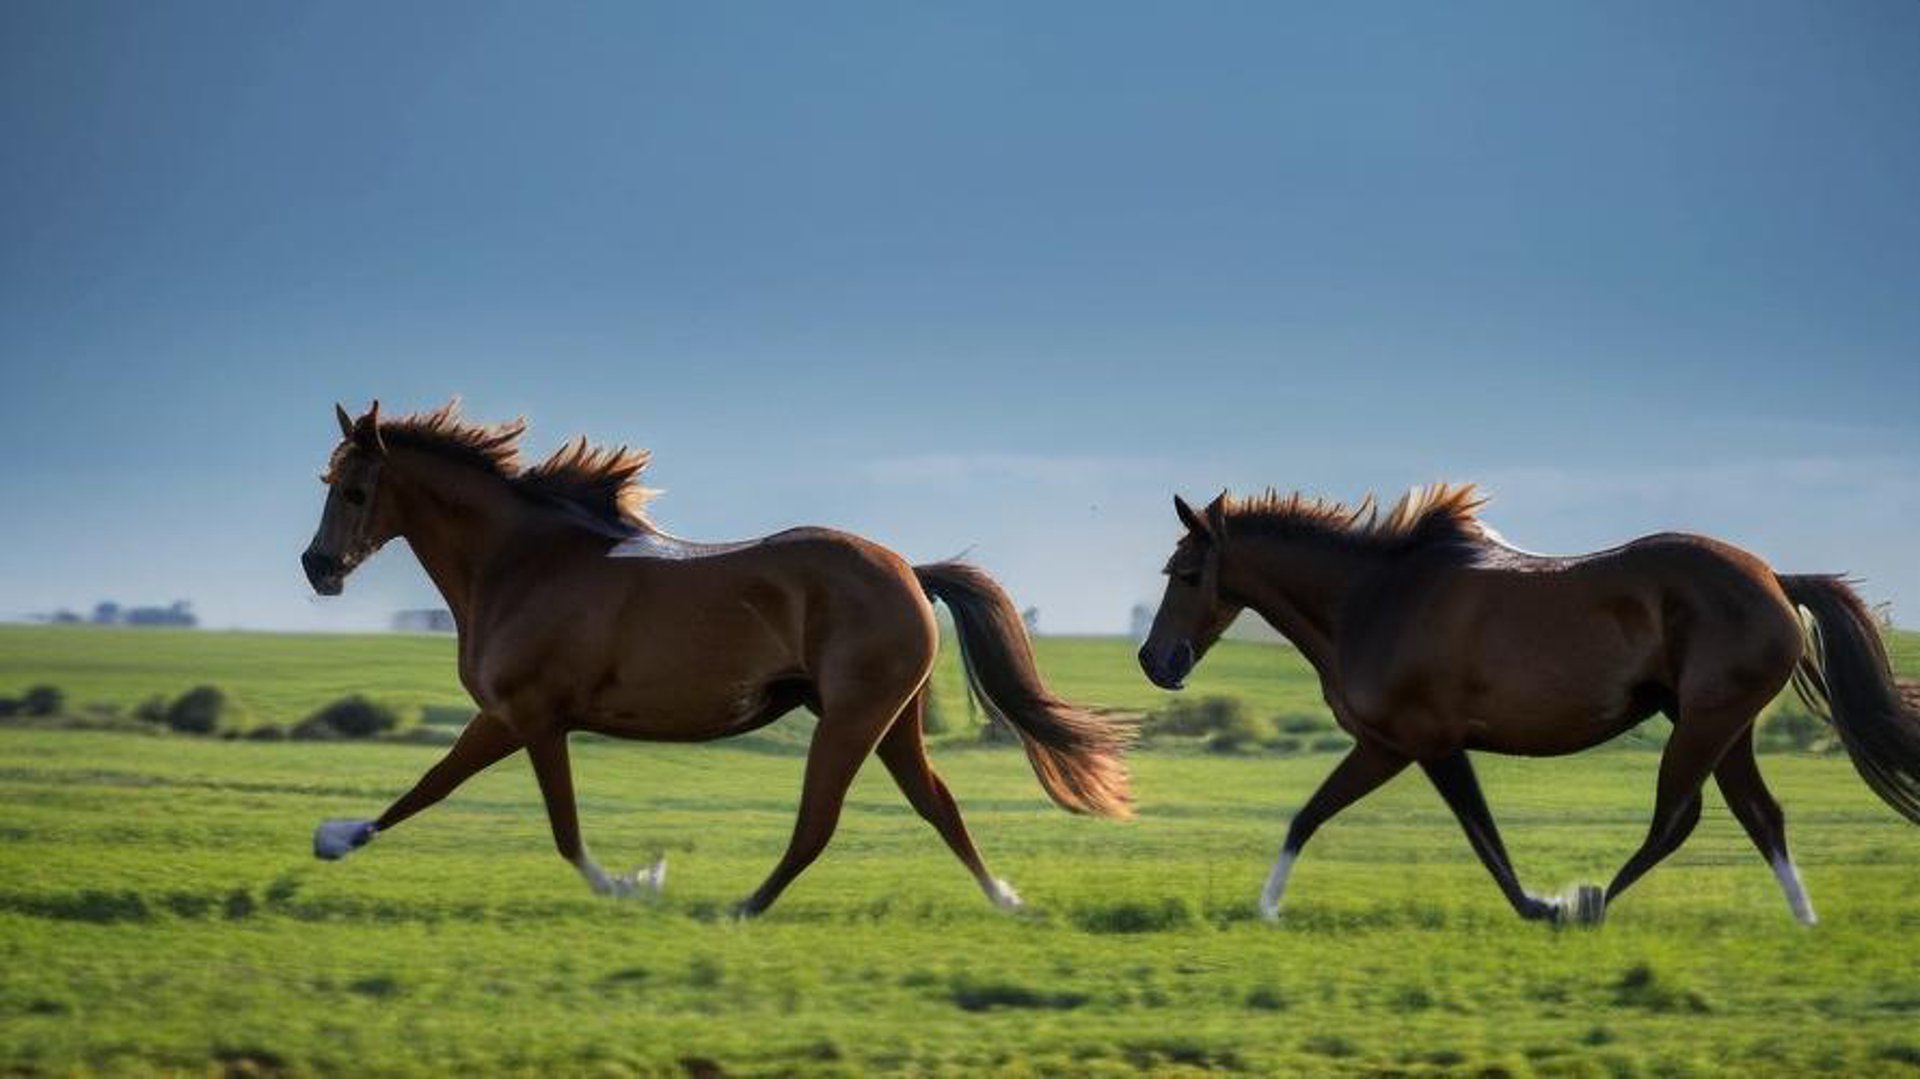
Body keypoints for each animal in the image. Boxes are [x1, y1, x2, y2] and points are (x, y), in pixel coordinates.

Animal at [302, 401, 1132, 916]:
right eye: (328, 481)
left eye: (356, 488)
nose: (317, 567)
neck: (521, 562)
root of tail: (908, 568)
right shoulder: (521, 718)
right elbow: (438, 790)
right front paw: (336, 837)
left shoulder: (525, 715)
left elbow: (521, 815)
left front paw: (637, 881)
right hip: (888, 721)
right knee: (938, 804)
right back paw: (1008, 899)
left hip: (852, 719)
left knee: (819, 822)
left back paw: (740, 907)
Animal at [1137, 484, 1920, 925]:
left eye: (1188, 572)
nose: (1154, 661)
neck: (1373, 599)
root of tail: (1775, 579)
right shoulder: (1389, 747)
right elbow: (1309, 816)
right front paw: (1266, 907)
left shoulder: (1420, 744)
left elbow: (1478, 834)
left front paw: (1542, 904)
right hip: (1724, 728)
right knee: (1761, 815)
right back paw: (1804, 920)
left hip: (1704, 724)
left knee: (1679, 818)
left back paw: (1589, 902)